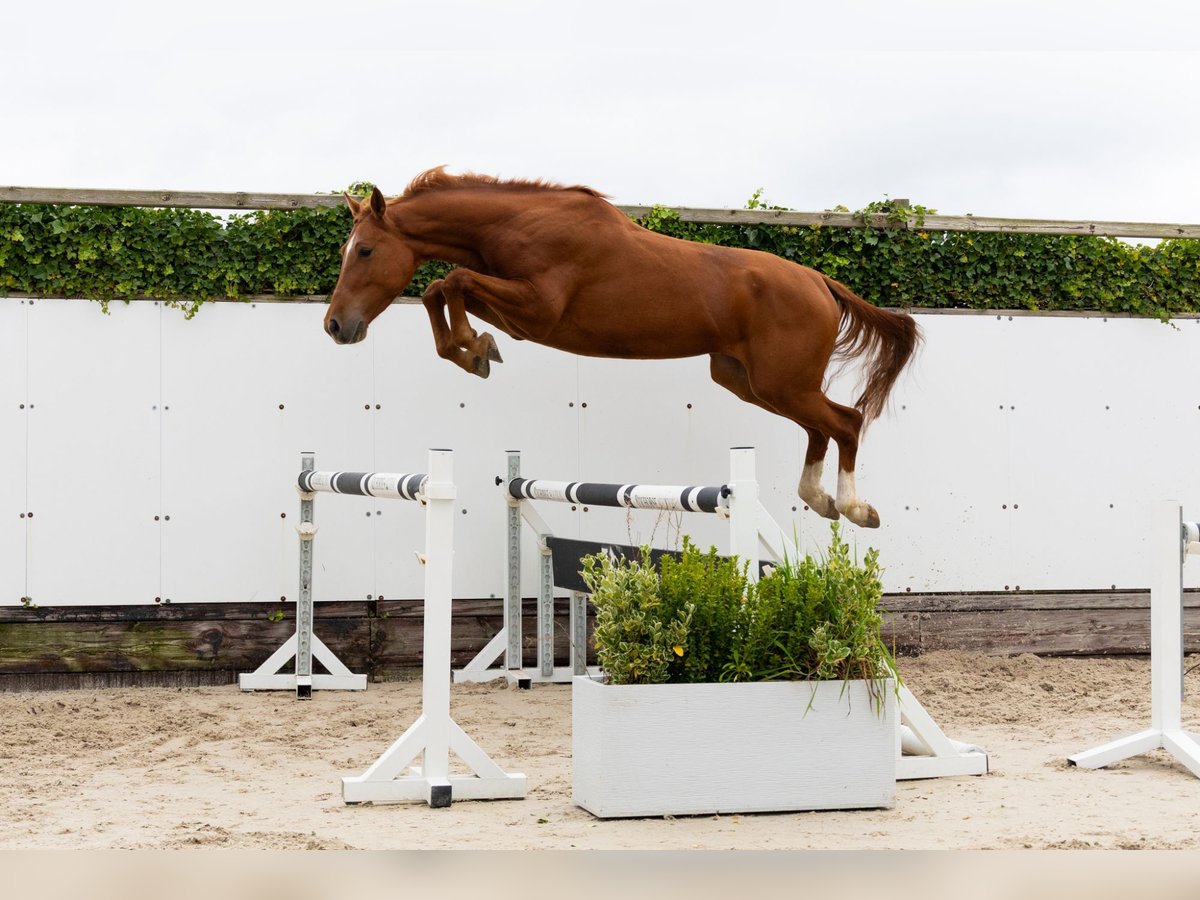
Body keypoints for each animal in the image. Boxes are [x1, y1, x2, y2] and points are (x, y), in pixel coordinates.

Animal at [325, 168, 920, 528]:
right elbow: (441, 287)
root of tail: (821, 282)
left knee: (845, 421)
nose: (335, 326)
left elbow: (452, 280)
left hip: (782, 382)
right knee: (821, 427)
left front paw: (473, 347)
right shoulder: (521, 314)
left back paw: (854, 507)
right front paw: (474, 351)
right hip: (750, 382)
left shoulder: (539, 308)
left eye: (366, 251)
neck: (519, 223)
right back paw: (820, 499)